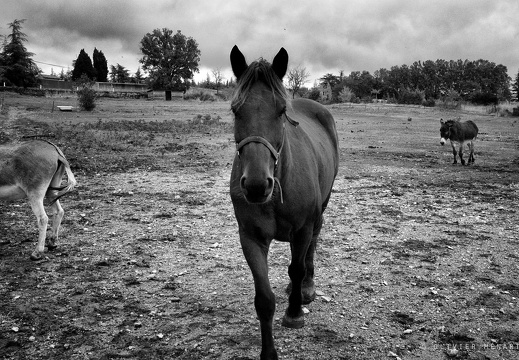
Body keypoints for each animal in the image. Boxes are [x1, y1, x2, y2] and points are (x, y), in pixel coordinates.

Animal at [230, 46, 340, 360]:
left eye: (281, 110)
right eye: (235, 110)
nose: (256, 185)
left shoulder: (302, 229)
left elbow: (298, 266)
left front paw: (294, 312)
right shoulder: (251, 238)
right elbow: (264, 298)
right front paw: (269, 353)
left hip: (320, 211)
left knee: (310, 248)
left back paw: (306, 288)